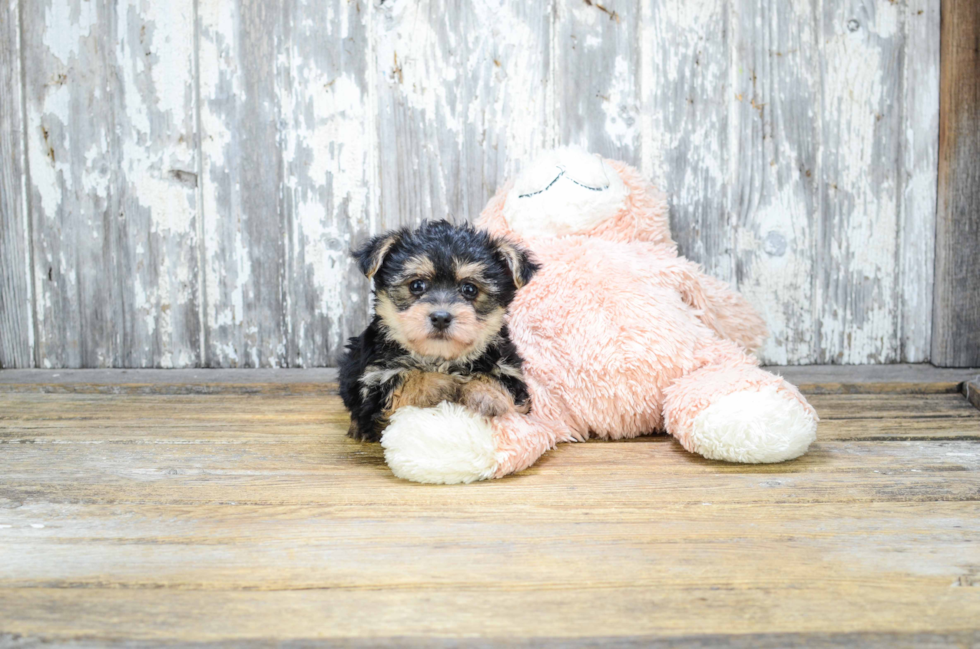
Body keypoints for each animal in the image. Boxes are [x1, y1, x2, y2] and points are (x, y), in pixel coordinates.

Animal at [336, 220, 536, 442]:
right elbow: (407, 378)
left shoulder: (511, 372)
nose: (441, 317)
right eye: (417, 285)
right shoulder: (373, 381)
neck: (438, 358)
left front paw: (489, 395)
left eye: (470, 289)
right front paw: (445, 382)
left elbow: (497, 381)